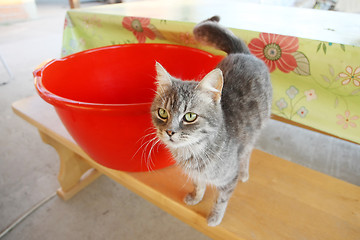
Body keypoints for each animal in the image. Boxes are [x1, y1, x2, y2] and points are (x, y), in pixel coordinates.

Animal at [150, 15, 272, 226]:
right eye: (162, 113)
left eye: (190, 116)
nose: (170, 131)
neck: (192, 152)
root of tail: (242, 53)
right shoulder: (196, 175)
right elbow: (198, 184)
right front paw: (196, 197)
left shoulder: (228, 179)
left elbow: (221, 200)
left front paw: (215, 217)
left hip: (255, 132)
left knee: (247, 152)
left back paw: (244, 172)